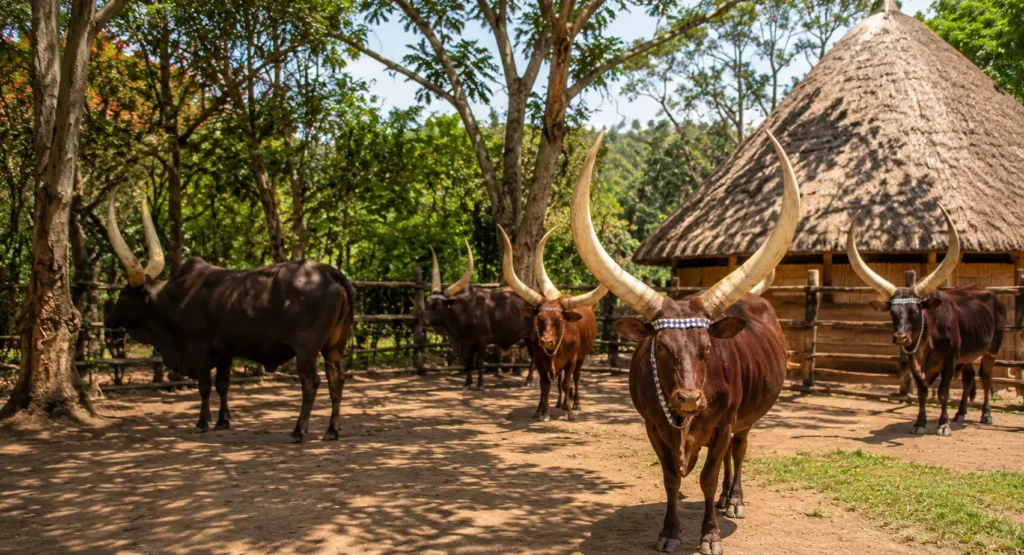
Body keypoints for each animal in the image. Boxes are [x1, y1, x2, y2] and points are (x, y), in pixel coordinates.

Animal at [103, 193, 355, 442]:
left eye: (123, 295)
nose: (109, 318)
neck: (174, 299)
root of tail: (330, 273)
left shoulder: (199, 348)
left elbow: (205, 386)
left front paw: (202, 422)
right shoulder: (225, 350)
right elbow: (223, 385)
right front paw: (223, 421)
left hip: (306, 349)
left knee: (311, 383)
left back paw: (299, 430)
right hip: (334, 347)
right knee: (336, 380)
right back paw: (332, 430)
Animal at [424, 243, 534, 390]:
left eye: (438, 306)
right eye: (429, 304)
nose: (424, 320)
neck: (465, 310)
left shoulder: (482, 341)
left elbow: (480, 362)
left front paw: (480, 384)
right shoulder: (466, 343)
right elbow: (469, 362)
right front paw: (467, 383)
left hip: (533, 337)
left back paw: (529, 381)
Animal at [497, 224, 607, 421]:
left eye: (559, 319)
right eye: (539, 319)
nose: (546, 341)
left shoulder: (572, 359)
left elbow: (566, 382)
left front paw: (570, 412)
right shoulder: (540, 360)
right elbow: (545, 385)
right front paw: (543, 412)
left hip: (582, 356)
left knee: (576, 378)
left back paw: (574, 403)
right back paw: (558, 403)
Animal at [570, 130, 799, 554]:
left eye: (707, 348)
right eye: (660, 347)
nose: (690, 398)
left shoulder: (723, 424)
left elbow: (708, 477)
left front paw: (709, 534)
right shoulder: (653, 427)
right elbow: (671, 480)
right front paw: (669, 532)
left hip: (745, 419)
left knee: (738, 452)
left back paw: (733, 499)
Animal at [847, 207, 1006, 436]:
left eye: (915, 310)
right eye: (892, 312)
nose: (901, 337)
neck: (926, 341)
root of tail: (993, 295)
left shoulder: (950, 360)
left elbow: (943, 392)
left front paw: (943, 425)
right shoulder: (915, 361)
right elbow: (922, 392)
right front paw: (920, 423)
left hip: (992, 349)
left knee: (986, 378)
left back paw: (986, 415)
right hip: (967, 355)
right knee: (968, 380)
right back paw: (961, 413)